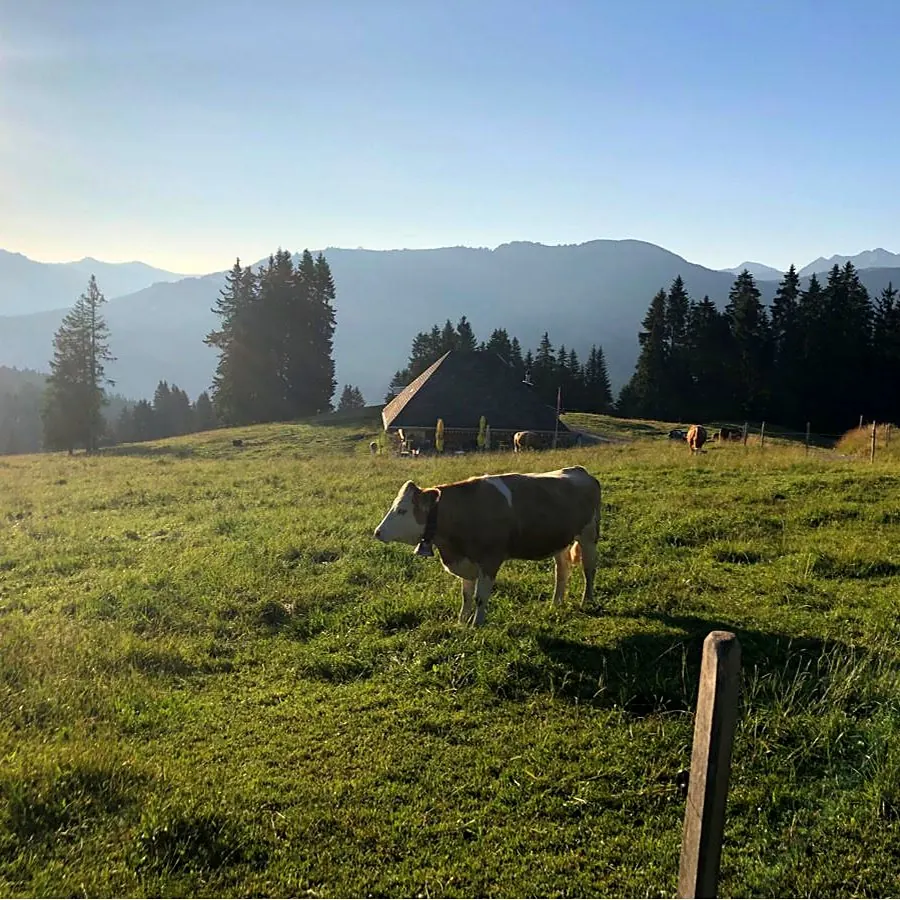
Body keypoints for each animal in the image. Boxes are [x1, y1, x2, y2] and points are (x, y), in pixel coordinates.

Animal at [373, 466, 602, 627]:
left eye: (402, 510)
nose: (377, 532)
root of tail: (579, 470)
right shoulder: (465, 561)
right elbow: (466, 596)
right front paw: (461, 622)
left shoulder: (490, 560)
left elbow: (480, 597)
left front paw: (477, 624)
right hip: (559, 542)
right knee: (562, 570)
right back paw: (556, 602)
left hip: (589, 535)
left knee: (589, 570)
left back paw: (587, 600)